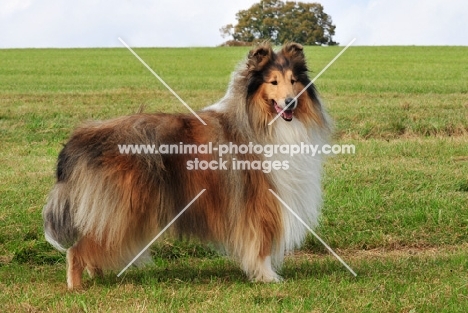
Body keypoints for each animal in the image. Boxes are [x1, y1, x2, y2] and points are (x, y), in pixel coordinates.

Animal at [43, 42, 330, 288]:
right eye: (273, 82)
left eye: (293, 80)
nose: (291, 102)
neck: (261, 121)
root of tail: (81, 136)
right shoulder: (259, 201)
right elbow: (261, 244)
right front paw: (268, 277)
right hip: (119, 210)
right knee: (75, 250)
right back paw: (77, 287)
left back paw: (97, 275)